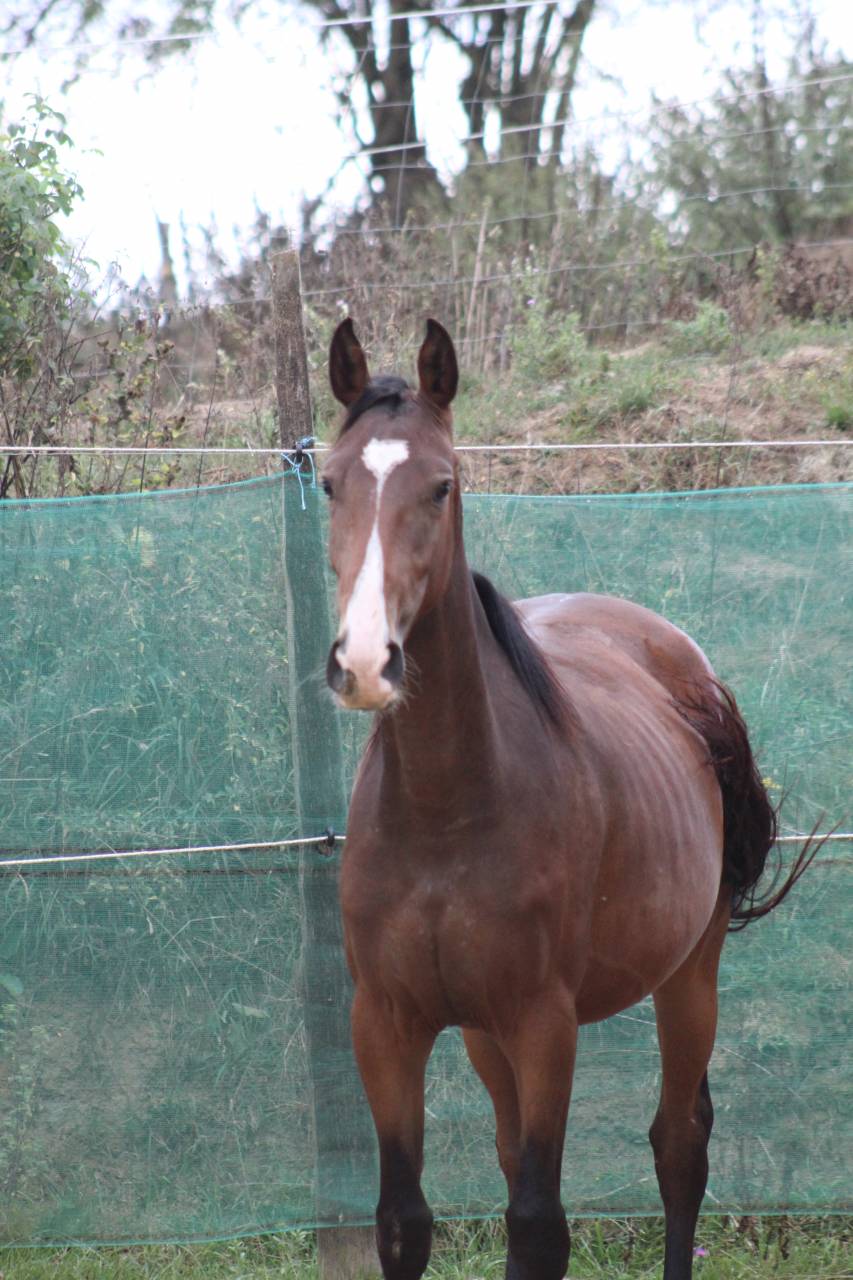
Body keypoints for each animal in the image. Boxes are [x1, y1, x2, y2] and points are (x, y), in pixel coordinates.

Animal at [320, 317, 815, 1280]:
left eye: (441, 485)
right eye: (329, 483)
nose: (363, 661)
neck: (446, 813)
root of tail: (683, 665)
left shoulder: (543, 1023)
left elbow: (537, 1222)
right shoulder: (386, 1023)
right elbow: (404, 1220)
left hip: (688, 974)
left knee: (678, 1144)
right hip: (483, 1036)